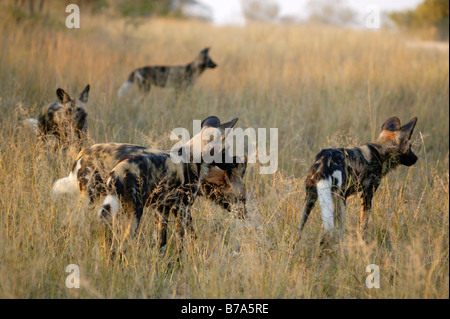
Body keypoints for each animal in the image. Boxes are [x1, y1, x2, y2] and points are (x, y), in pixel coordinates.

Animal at [298, 117, 418, 245]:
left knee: (299, 230)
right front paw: (362, 243)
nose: (416, 158)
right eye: (410, 146)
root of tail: (324, 158)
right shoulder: (367, 196)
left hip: (310, 200)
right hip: (340, 202)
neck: (381, 150)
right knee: (338, 233)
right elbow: (363, 226)